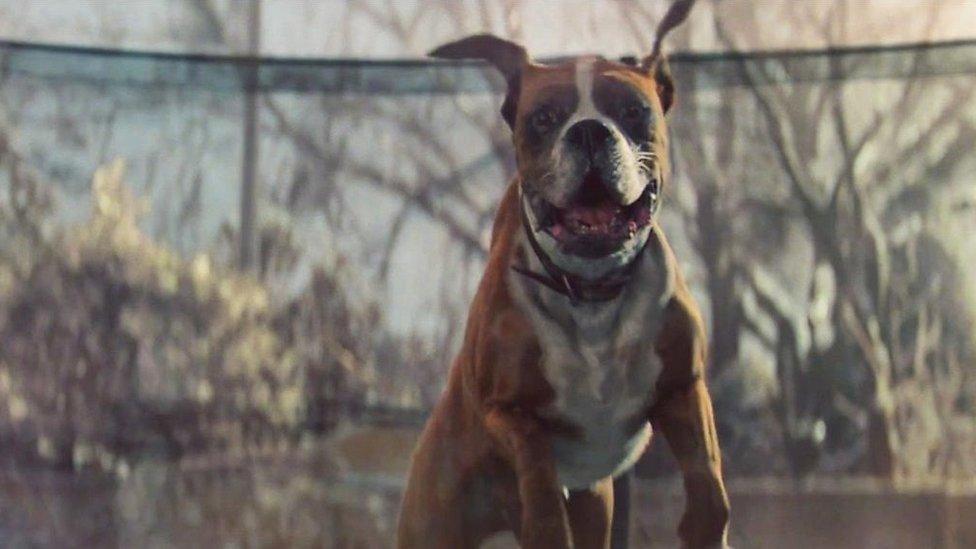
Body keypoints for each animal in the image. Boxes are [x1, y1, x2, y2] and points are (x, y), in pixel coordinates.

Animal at [394, 2, 724, 544]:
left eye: (633, 110)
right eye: (543, 118)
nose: (589, 130)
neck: (589, 292)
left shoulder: (684, 388)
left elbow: (709, 486)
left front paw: (704, 529)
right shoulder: (509, 414)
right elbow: (541, 485)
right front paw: (547, 521)